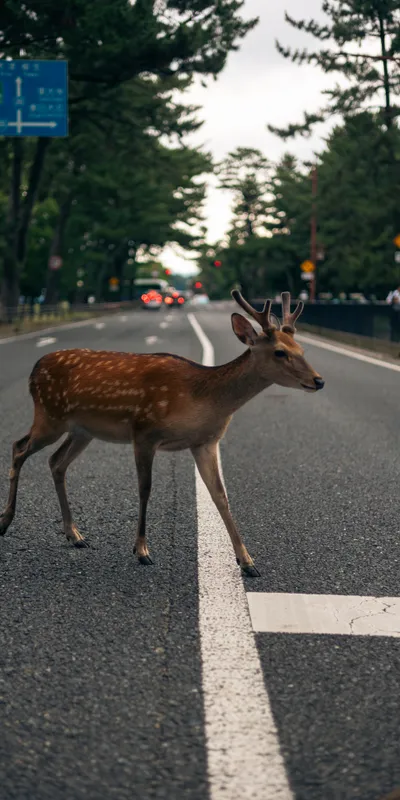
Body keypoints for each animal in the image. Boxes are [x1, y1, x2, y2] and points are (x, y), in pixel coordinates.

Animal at [0, 291, 324, 577]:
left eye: (302, 350)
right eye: (280, 352)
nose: (318, 380)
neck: (201, 398)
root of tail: (34, 370)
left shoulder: (204, 442)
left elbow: (220, 495)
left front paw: (247, 562)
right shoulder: (145, 431)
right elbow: (146, 488)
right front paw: (142, 551)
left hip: (82, 430)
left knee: (56, 462)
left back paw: (75, 534)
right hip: (49, 416)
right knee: (19, 446)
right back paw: (6, 522)